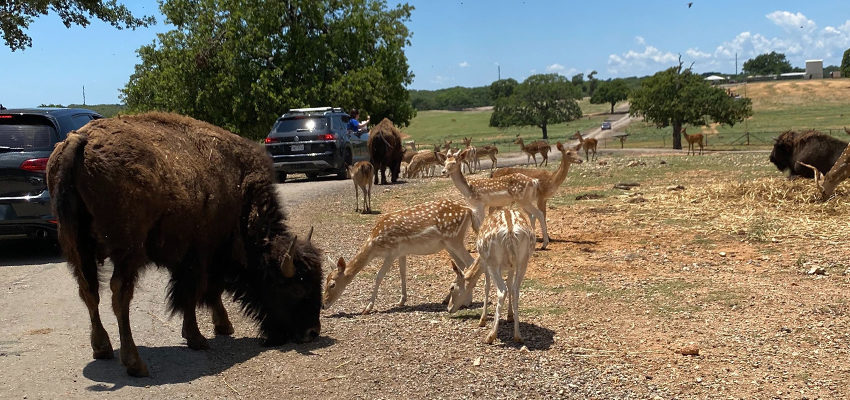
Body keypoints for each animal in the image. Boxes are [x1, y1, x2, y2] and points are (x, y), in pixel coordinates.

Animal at [47, 113, 324, 378]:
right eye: (296, 287)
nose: (311, 332)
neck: (240, 194)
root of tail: (79, 141)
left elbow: (205, 292)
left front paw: (222, 326)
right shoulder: (201, 254)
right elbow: (196, 292)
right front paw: (198, 337)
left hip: (75, 247)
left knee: (89, 291)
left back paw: (102, 348)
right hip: (128, 251)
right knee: (119, 294)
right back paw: (135, 363)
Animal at [322, 198, 476, 314]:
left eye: (332, 284)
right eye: (325, 281)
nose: (323, 305)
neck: (375, 245)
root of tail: (469, 210)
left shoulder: (392, 252)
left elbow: (379, 276)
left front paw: (367, 308)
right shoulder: (402, 252)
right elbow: (402, 273)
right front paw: (402, 300)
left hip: (454, 239)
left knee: (470, 261)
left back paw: (467, 302)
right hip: (448, 244)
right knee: (461, 264)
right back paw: (447, 299)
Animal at [444, 209, 528, 344]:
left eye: (452, 287)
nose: (449, 308)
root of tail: (510, 232)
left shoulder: (486, 263)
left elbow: (486, 286)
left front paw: (482, 320)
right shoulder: (511, 267)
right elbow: (510, 285)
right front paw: (509, 316)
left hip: (493, 261)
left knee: (502, 291)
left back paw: (491, 336)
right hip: (523, 260)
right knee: (515, 290)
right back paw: (518, 336)